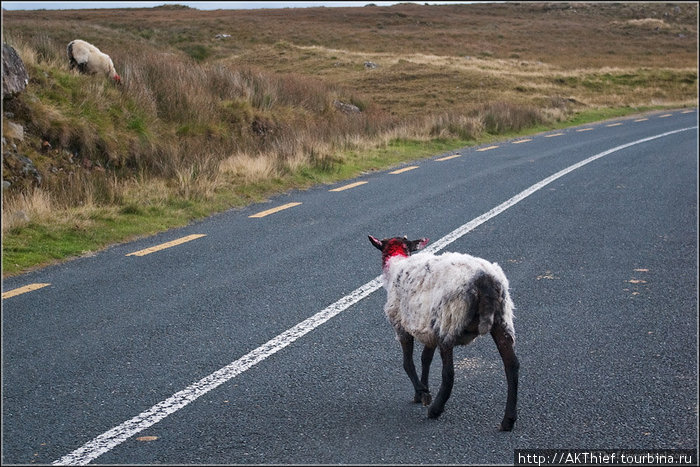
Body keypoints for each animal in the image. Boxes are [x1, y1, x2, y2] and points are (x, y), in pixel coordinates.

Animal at [370, 236, 516, 434]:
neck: (396, 264)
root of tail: (484, 280)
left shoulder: (401, 325)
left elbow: (408, 363)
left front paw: (423, 393)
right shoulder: (427, 330)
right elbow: (425, 359)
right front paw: (422, 390)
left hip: (447, 322)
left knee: (449, 374)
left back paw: (435, 410)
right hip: (502, 320)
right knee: (512, 366)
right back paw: (508, 420)